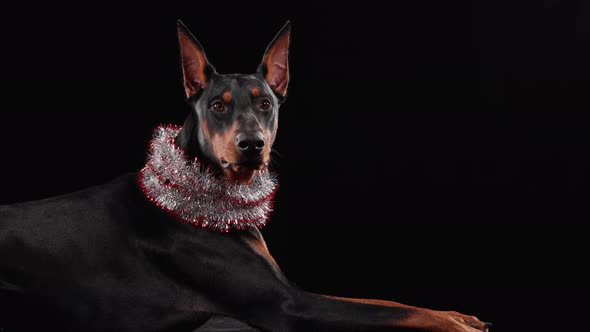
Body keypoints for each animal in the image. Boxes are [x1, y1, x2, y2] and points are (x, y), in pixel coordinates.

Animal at [0, 21, 490, 332]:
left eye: (265, 103)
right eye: (218, 105)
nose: (251, 144)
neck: (202, 192)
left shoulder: (290, 290)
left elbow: (387, 302)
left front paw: (461, 316)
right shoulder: (288, 305)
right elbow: (391, 313)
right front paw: (456, 324)